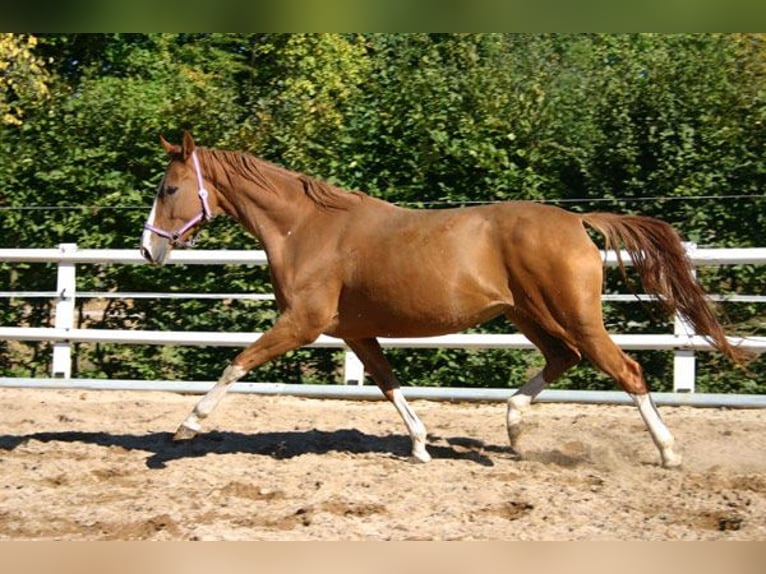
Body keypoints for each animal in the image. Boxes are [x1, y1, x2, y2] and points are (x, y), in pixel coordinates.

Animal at [140, 133, 744, 470]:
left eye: (169, 189)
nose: (149, 249)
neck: (306, 229)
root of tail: (577, 221)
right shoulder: (355, 333)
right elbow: (388, 386)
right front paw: (421, 446)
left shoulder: (303, 323)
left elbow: (237, 362)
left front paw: (185, 427)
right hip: (529, 314)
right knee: (563, 359)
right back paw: (514, 429)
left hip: (573, 315)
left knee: (628, 371)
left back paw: (669, 453)